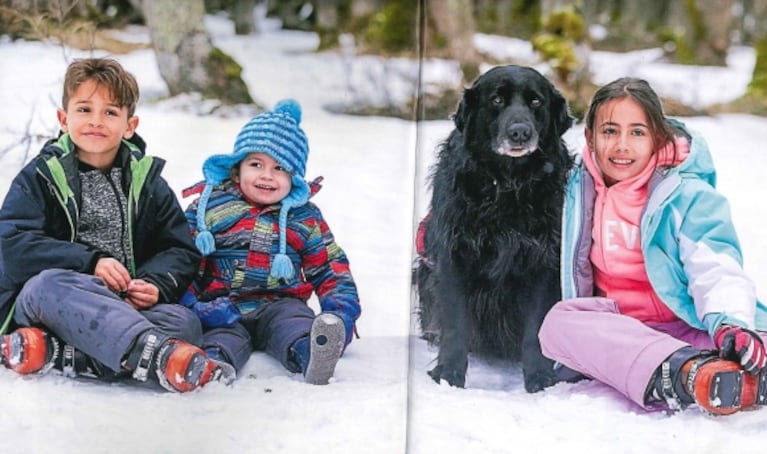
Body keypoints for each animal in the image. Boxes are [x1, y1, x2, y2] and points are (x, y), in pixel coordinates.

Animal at [416, 64, 572, 394]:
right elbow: (455, 325)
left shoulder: (545, 262)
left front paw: (539, 377)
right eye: (497, 100)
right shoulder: (453, 257)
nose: (520, 132)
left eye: (536, 102)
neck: (508, 185)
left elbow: (536, 328)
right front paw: (448, 374)